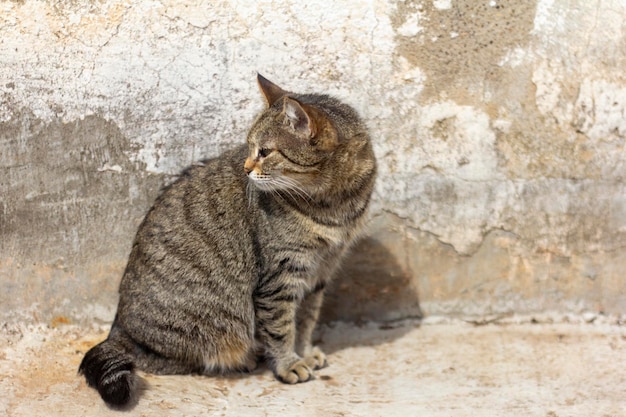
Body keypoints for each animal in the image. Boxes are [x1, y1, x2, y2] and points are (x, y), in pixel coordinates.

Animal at [78, 75, 376, 406]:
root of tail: (117, 329)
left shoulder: (320, 272)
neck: (333, 204)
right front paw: (288, 364)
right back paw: (242, 359)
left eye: (265, 152)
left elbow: (306, 321)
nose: (246, 169)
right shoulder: (280, 277)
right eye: (249, 147)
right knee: (160, 358)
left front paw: (305, 353)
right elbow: (281, 327)